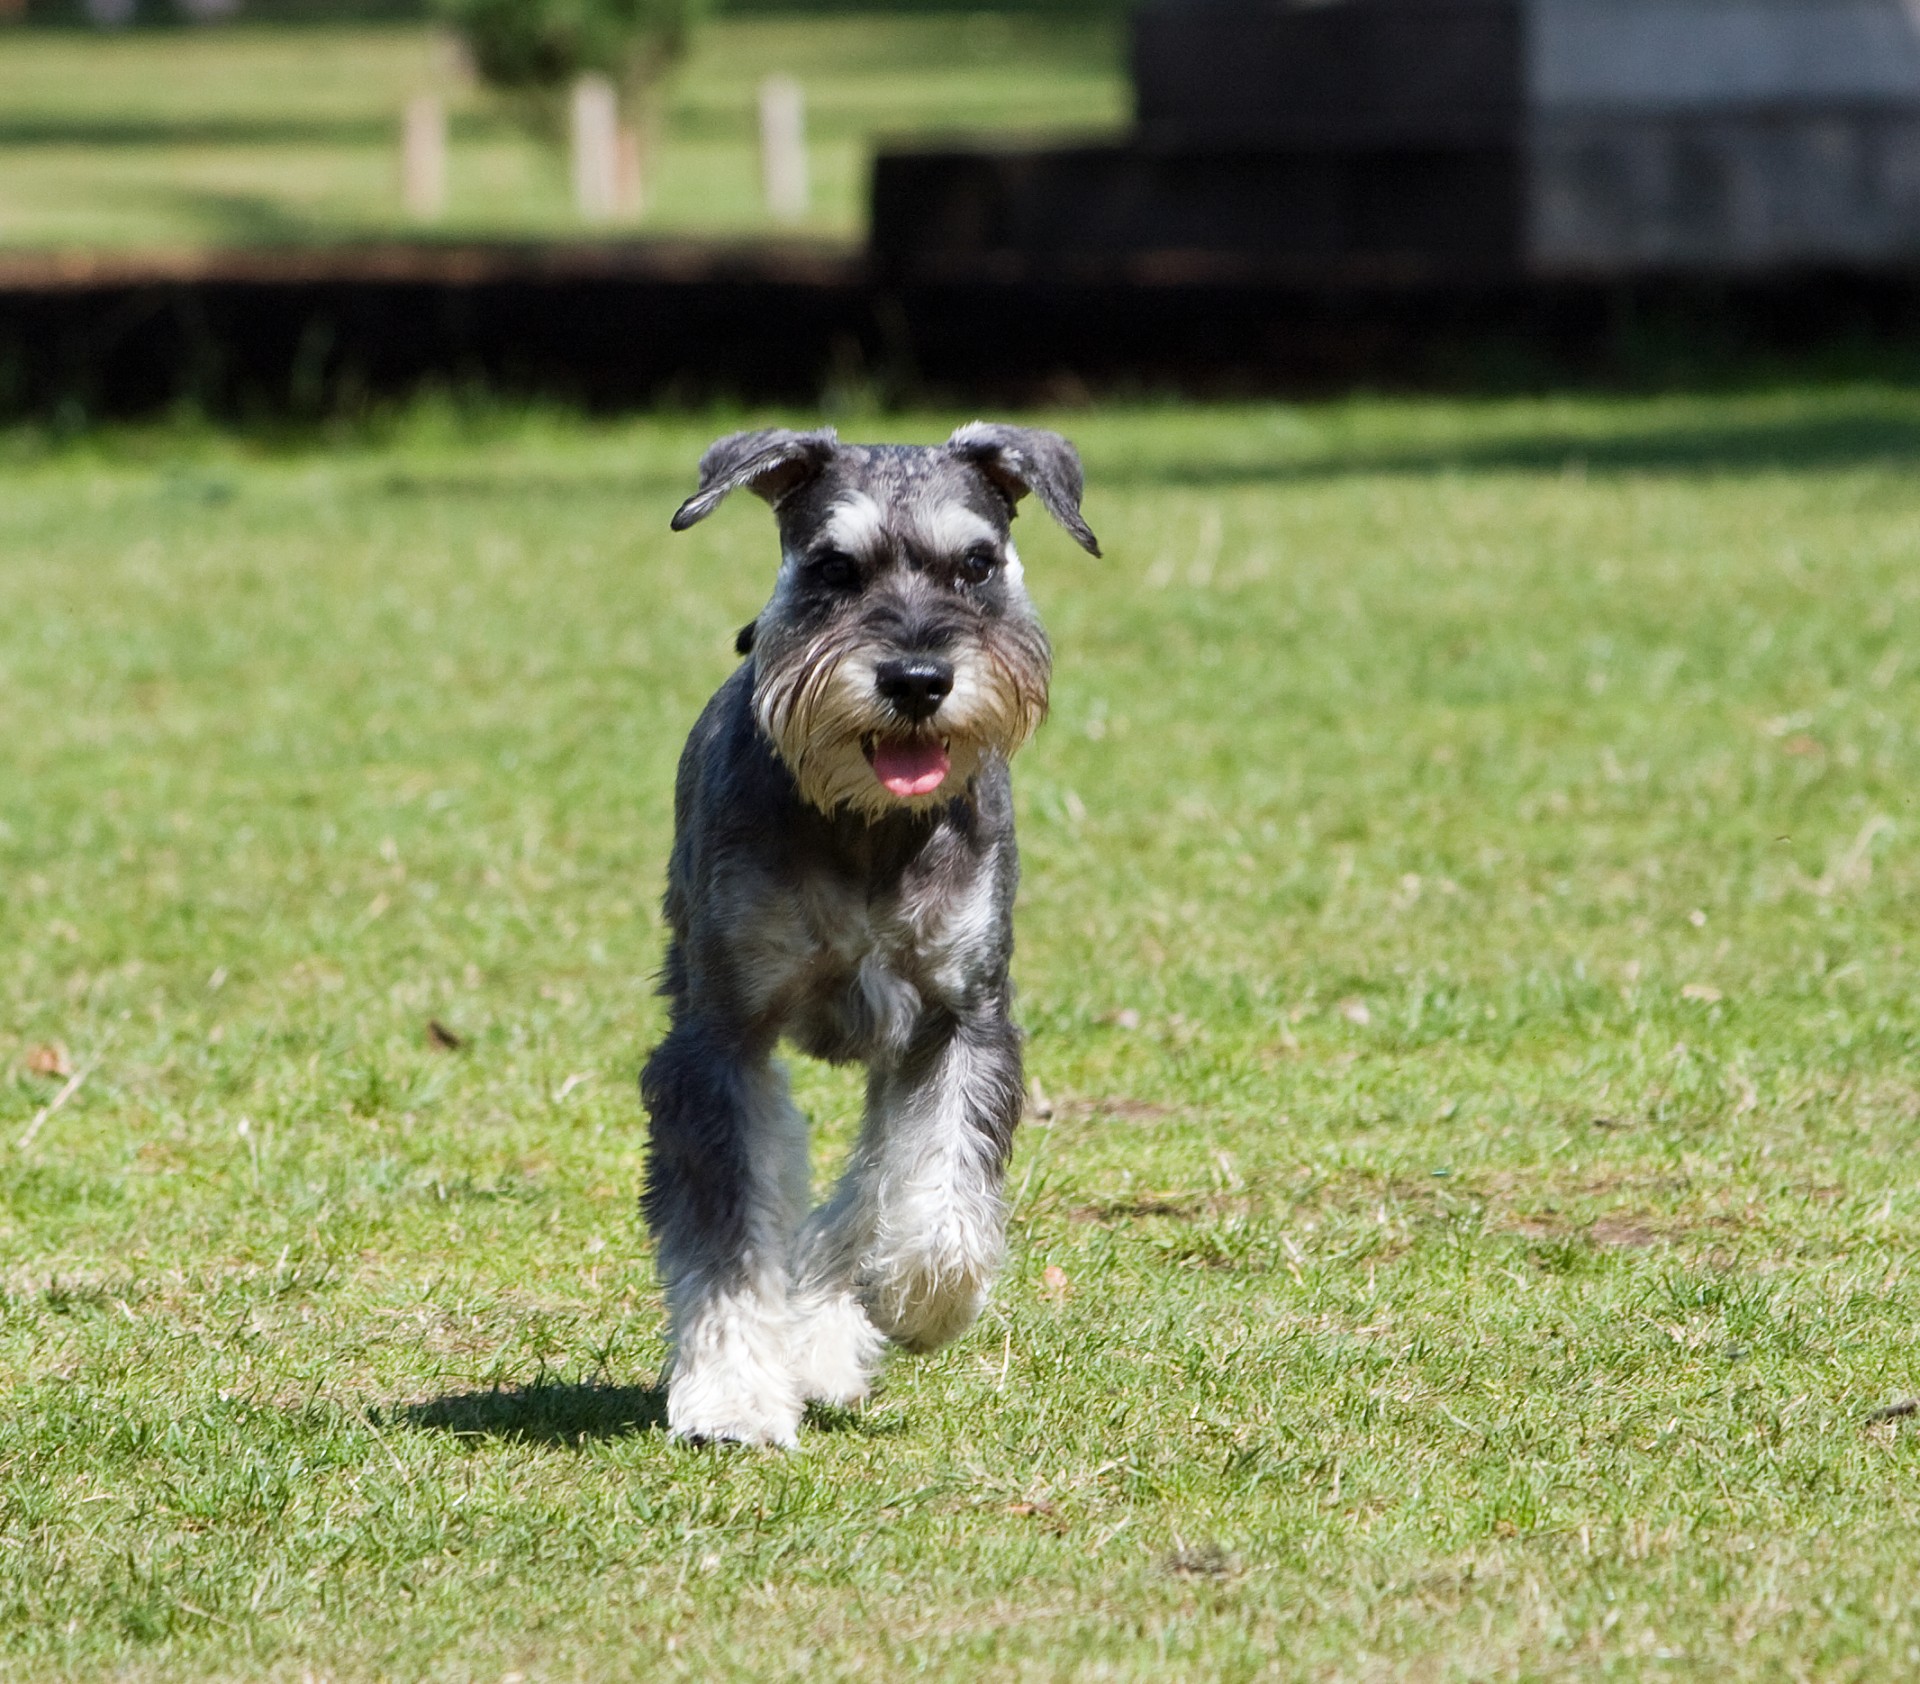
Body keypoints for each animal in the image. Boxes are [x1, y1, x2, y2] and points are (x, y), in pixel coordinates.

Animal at [641, 420, 1105, 1443]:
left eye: (977, 563)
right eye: (833, 568)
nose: (918, 680)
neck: (865, 822)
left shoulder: (962, 1018)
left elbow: (938, 1180)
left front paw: (918, 1300)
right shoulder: (720, 1040)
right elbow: (729, 1228)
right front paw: (732, 1394)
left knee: (873, 1182)